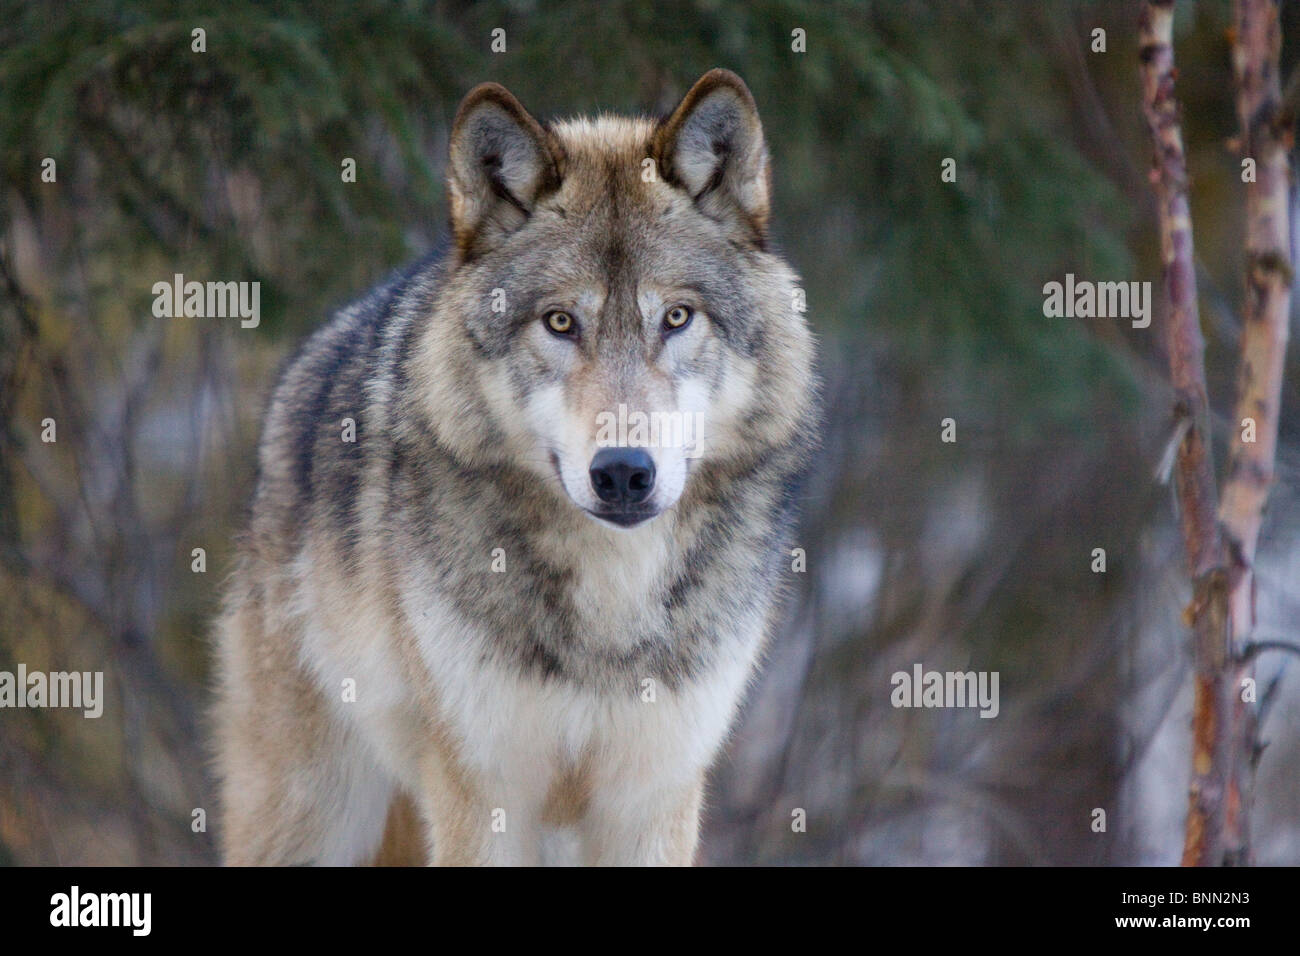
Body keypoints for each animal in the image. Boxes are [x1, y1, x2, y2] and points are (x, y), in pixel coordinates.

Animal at [217, 70, 816, 868]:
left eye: (677, 318)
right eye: (560, 322)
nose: (622, 472)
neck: (612, 601)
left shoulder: (651, 799)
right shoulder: (482, 793)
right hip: (312, 814)